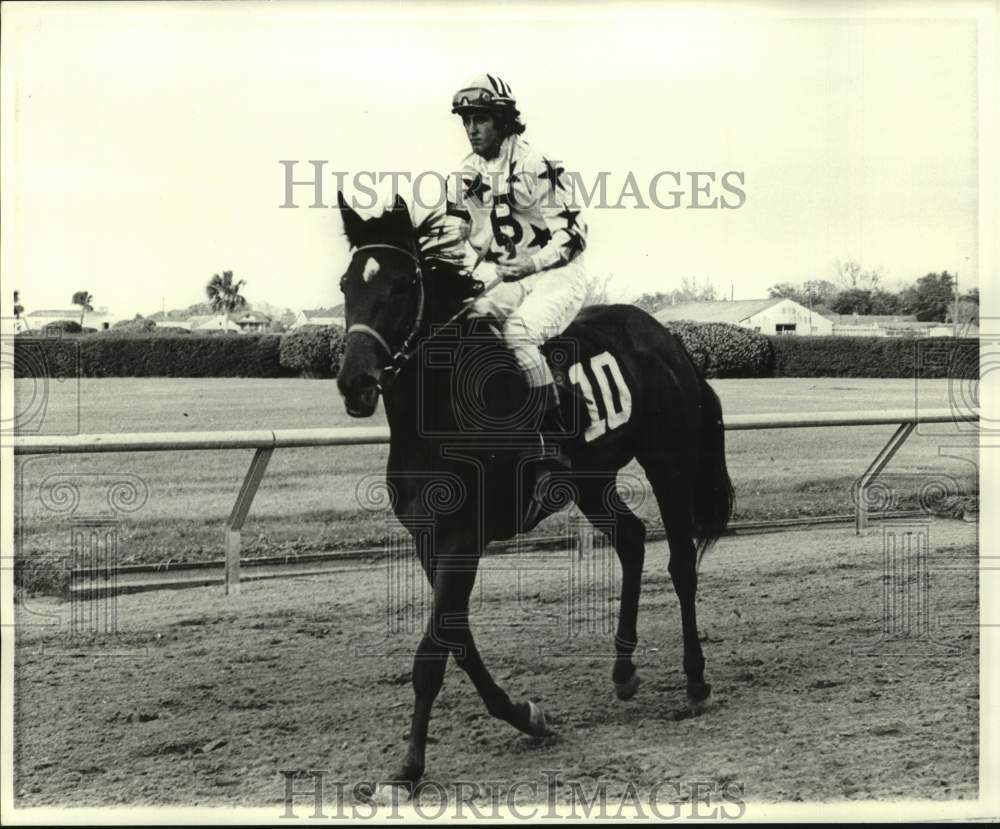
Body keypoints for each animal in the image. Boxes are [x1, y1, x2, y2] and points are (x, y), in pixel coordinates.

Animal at [336, 192, 736, 788]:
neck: (438, 415)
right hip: (591, 481)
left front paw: (410, 763)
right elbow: (458, 641)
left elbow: (433, 652)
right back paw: (623, 670)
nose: (355, 384)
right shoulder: (430, 540)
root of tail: (668, 340)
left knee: (681, 563)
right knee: (632, 539)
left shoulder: (463, 538)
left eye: (403, 285)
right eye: (346, 284)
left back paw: (694, 681)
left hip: (668, 460)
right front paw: (527, 716)